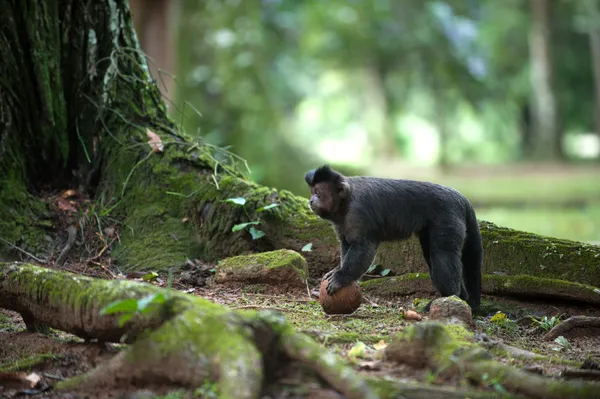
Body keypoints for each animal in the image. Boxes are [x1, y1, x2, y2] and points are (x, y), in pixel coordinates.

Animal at [304, 165, 482, 312]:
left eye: (318, 193)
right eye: (312, 192)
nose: (311, 200)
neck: (345, 202)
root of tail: (461, 198)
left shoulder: (358, 211)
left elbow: (364, 247)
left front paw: (341, 277)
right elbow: (347, 244)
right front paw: (337, 270)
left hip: (447, 216)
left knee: (442, 253)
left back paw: (451, 296)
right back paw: (461, 298)